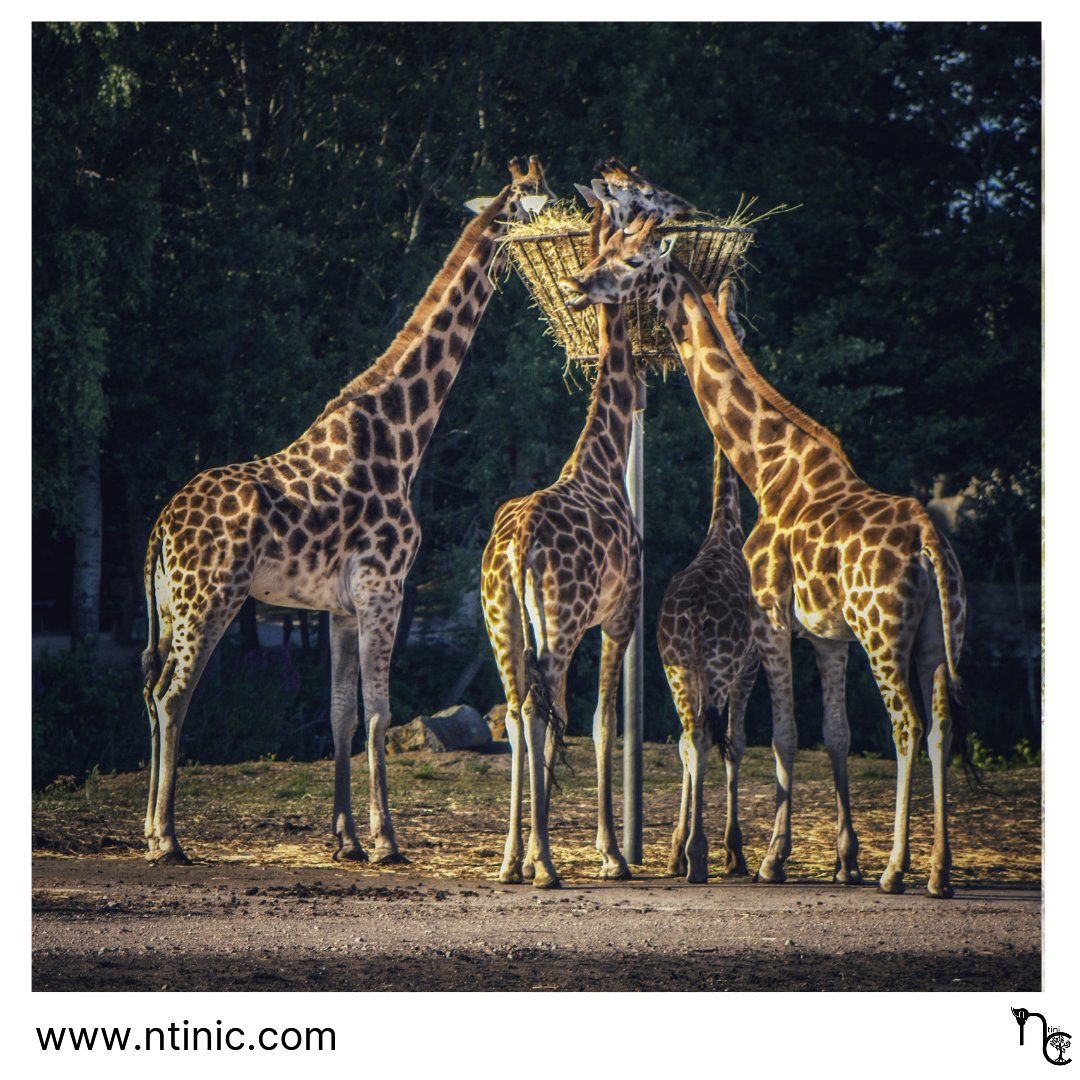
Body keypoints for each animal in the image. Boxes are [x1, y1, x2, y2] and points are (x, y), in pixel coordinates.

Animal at [142, 156, 553, 866]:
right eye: (546, 203)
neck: (403, 431)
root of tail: (161, 530)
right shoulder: (384, 586)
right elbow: (379, 712)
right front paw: (387, 841)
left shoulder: (339, 604)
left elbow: (339, 712)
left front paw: (346, 839)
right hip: (211, 598)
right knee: (174, 694)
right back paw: (167, 839)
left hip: (170, 605)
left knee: (149, 688)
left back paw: (147, 827)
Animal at [479, 164, 692, 888]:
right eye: (633, 254)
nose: (576, 284)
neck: (600, 456)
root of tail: (517, 546)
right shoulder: (620, 614)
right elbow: (602, 721)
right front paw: (611, 853)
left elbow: (568, 718)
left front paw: (544, 849)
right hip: (562, 617)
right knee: (538, 708)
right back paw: (544, 863)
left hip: (502, 618)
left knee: (518, 708)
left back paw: (512, 859)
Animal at [561, 213, 967, 898]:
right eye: (608, 248)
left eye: (634, 259)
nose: (578, 283)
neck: (770, 468)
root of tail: (931, 543)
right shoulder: (827, 635)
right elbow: (834, 734)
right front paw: (844, 861)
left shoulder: (772, 617)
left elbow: (781, 734)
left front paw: (775, 859)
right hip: (940, 634)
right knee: (939, 728)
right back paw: (937, 871)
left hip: (884, 632)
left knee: (906, 726)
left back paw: (897, 870)